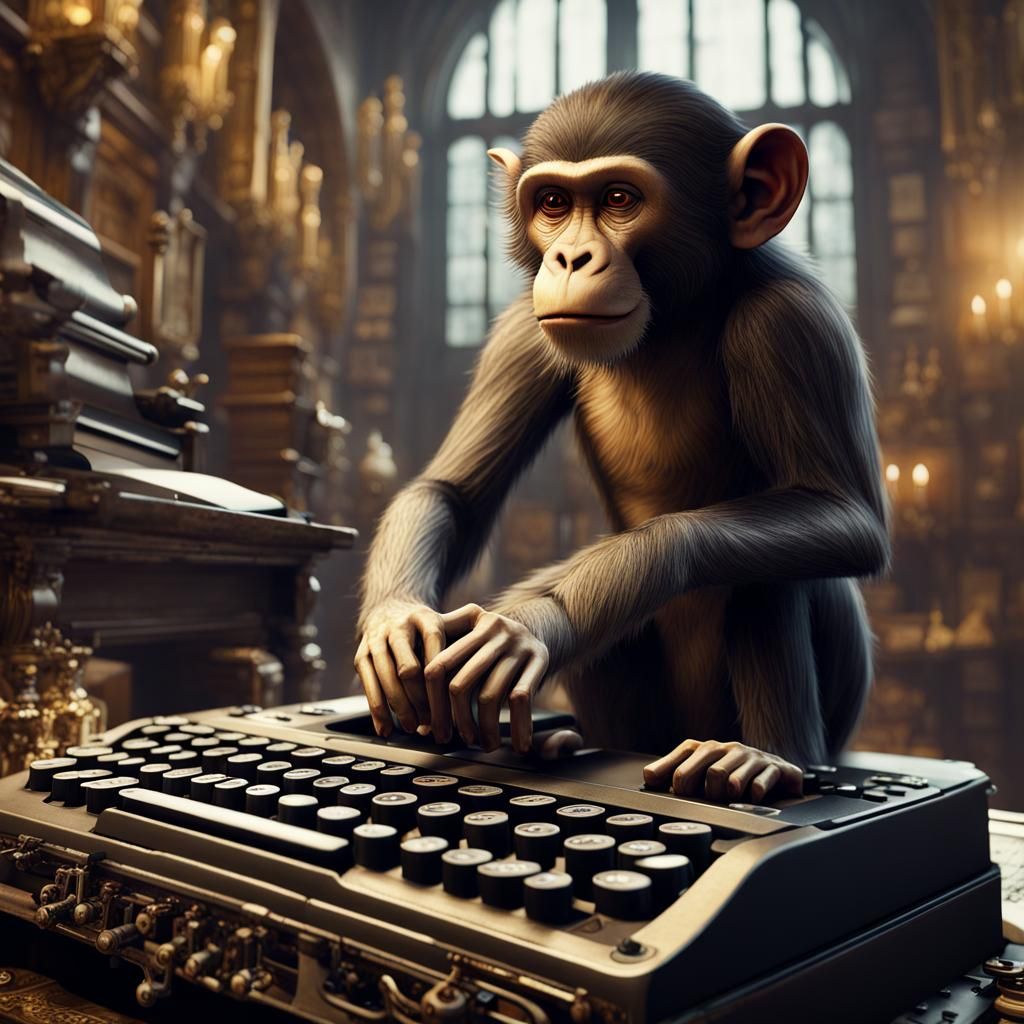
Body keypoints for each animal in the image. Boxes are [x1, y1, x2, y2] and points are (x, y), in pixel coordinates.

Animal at [354, 71, 890, 804]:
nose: (569, 257)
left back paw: (761, 758)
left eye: (618, 200)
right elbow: (453, 491)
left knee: (776, 565)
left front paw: (534, 615)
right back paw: (553, 742)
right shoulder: (522, 331)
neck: (672, 320)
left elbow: (845, 514)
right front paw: (398, 624)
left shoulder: (795, 322)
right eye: (553, 203)